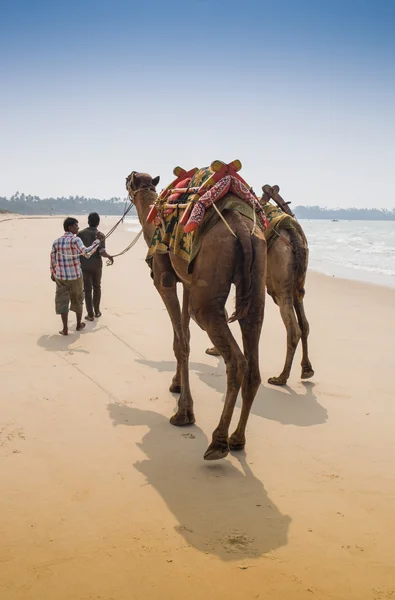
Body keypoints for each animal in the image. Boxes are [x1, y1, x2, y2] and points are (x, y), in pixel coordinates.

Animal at [126, 171, 270, 462]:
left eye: (128, 179)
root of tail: (241, 229)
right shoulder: (188, 281)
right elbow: (185, 334)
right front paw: (176, 385)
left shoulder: (165, 279)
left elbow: (180, 342)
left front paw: (184, 412)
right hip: (257, 275)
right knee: (253, 348)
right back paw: (237, 439)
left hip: (210, 286)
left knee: (236, 359)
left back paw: (218, 442)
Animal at [207, 185, 316, 386]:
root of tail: (293, 236)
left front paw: (214, 350)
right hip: (295, 282)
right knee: (304, 324)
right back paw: (306, 371)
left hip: (280, 285)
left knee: (293, 329)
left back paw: (281, 377)